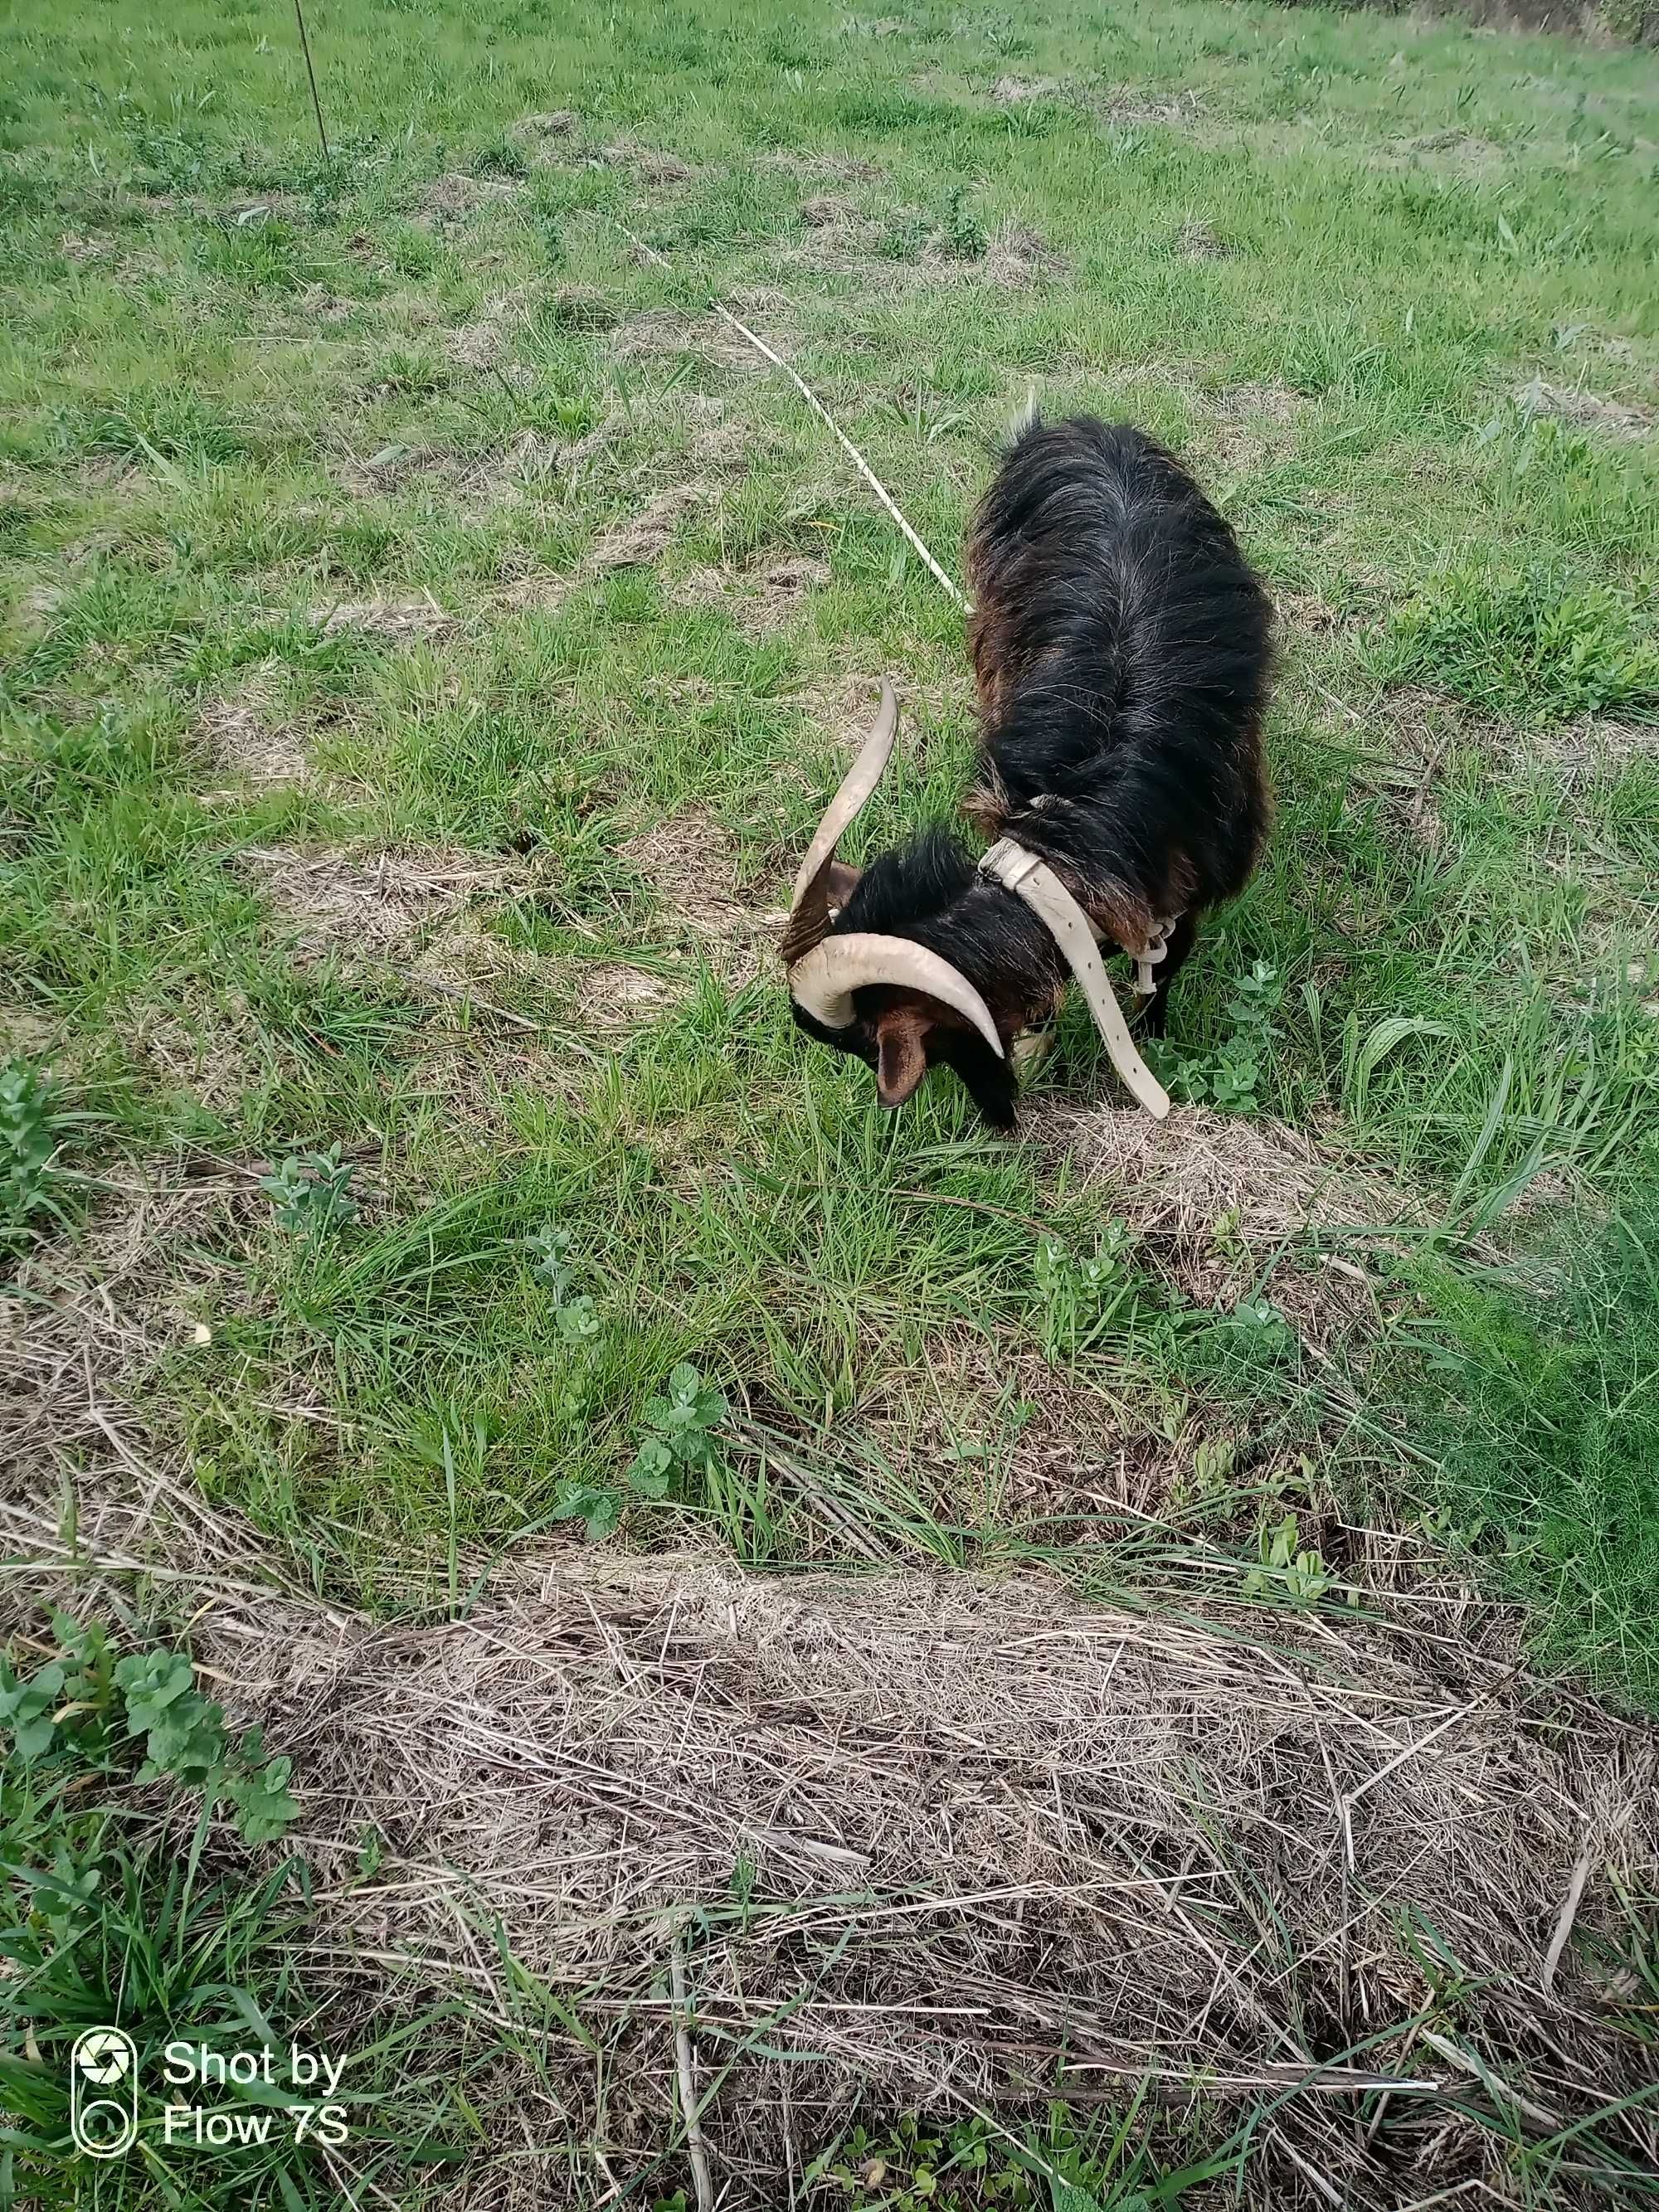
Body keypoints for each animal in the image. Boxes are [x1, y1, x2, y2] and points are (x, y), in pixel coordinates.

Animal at [787, 418, 1282, 1123]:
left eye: (864, 1045)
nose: (997, 1120)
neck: (1082, 832)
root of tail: (1079, 428)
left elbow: (1166, 971)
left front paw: (1156, 1035)